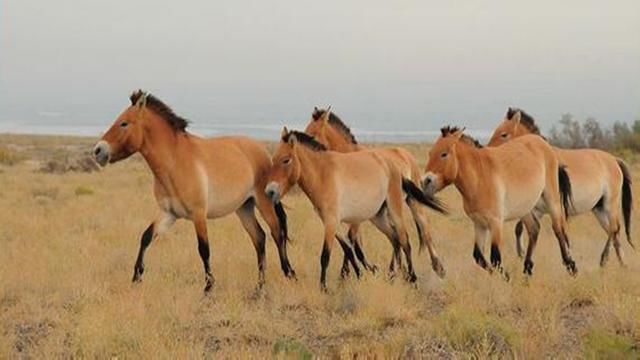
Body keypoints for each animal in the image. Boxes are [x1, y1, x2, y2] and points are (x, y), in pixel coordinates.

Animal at [92, 89, 296, 292]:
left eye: (124, 123)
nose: (98, 151)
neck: (175, 162)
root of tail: (264, 153)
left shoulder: (198, 214)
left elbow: (204, 249)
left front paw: (208, 287)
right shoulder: (169, 213)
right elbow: (146, 236)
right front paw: (136, 277)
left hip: (263, 203)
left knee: (277, 233)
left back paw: (289, 273)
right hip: (244, 207)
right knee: (259, 238)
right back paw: (260, 286)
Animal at [264, 129, 444, 290]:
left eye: (286, 160)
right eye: (274, 159)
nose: (270, 191)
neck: (323, 174)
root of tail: (395, 165)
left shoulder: (332, 222)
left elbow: (325, 255)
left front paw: (324, 287)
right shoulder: (332, 222)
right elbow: (349, 248)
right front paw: (360, 275)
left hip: (396, 210)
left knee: (405, 240)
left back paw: (413, 279)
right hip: (378, 217)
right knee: (394, 239)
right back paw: (397, 275)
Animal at [304, 108, 444, 278]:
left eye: (313, 133)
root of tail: (404, 153)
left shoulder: (356, 217)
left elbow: (352, 241)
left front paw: (346, 273)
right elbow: (354, 244)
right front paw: (367, 269)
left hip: (412, 203)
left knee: (424, 229)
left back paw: (437, 267)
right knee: (396, 236)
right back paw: (394, 270)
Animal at [422, 125, 576, 278]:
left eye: (444, 154)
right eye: (430, 153)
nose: (425, 182)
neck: (480, 177)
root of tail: (543, 143)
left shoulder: (495, 223)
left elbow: (495, 258)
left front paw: (508, 278)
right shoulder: (479, 224)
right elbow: (478, 257)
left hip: (552, 200)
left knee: (558, 230)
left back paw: (571, 266)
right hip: (525, 209)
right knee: (534, 230)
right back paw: (527, 270)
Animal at [488, 108, 632, 266]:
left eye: (504, 134)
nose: (487, 151)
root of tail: (615, 160)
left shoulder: (556, 207)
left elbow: (562, 233)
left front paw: (568, 259)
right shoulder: (538, 209)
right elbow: (520, 228)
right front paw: (521, 252)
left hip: (609, 204)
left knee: (614, 228)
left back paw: (605, 259)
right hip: (598, 209)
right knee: (613, 232)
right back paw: (620, 263)